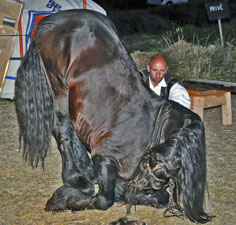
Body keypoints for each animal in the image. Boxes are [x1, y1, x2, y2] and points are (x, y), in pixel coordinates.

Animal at [15, 8, 214, 223]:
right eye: (159, 165)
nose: (150, 183)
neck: (151, 129)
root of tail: (47, 22)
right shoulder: (104, 158)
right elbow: (104, 200)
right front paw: (65, 199)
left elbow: (155, 197)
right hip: (58, 85)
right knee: (63, 129)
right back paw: (75, 178)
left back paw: (85, 173)